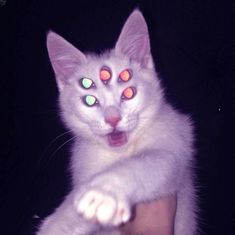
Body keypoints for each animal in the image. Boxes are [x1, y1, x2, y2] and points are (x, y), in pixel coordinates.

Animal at [37, 9, 198, 235]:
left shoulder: (175, 147)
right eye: (90, 100)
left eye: (129, 93)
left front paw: (103, 192)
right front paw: (58, 225)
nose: (113, 119)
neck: (120, 153)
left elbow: (148, 163)